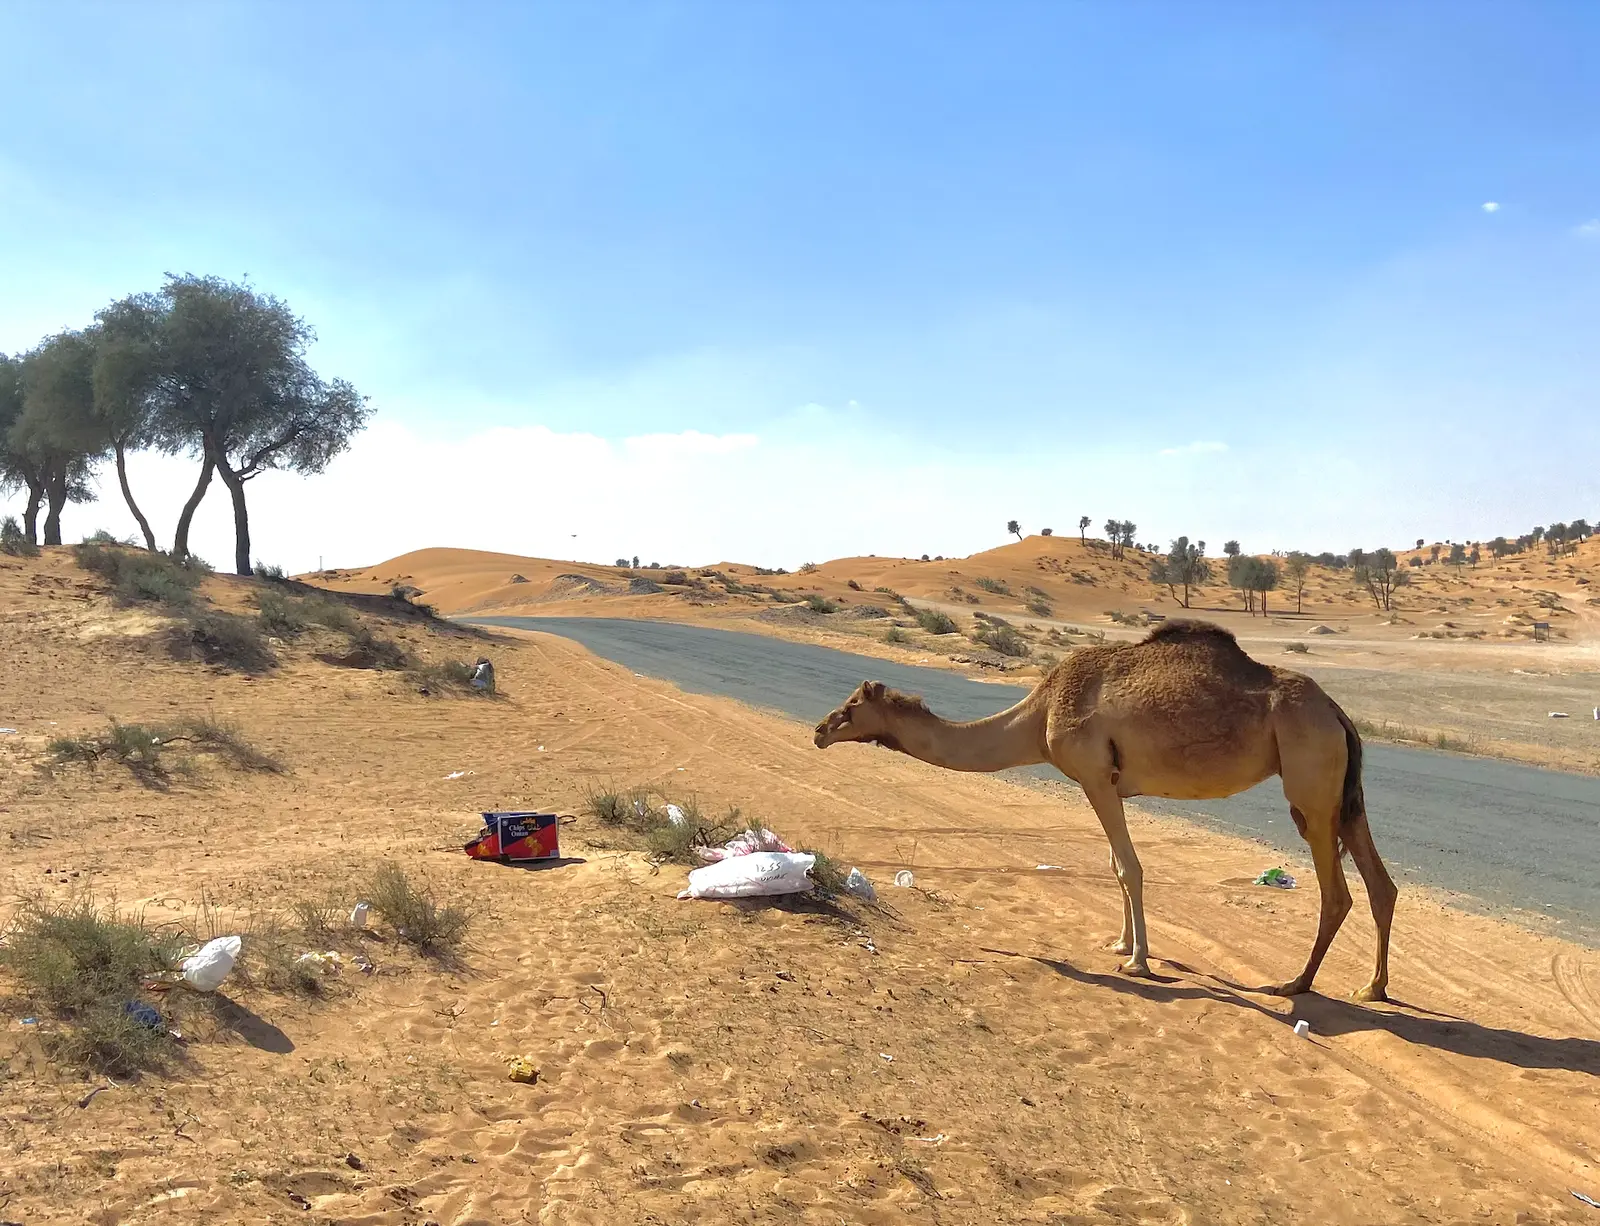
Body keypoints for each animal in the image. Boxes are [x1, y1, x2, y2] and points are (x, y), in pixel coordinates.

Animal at [813, 620, 1397, 1001]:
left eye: (851, 706)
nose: (819, 730)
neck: (1040, 714)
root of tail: (1337, 712)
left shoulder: (1094, 776)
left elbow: (1130, 868)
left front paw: (1139, 961)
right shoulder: (1109, 783)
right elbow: (1116, 866)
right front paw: (1120, 944)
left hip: (1309, 780)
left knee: (1337, 891)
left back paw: (1296, 983)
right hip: (1343, 791)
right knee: (1380, 884)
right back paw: (1371, 987)